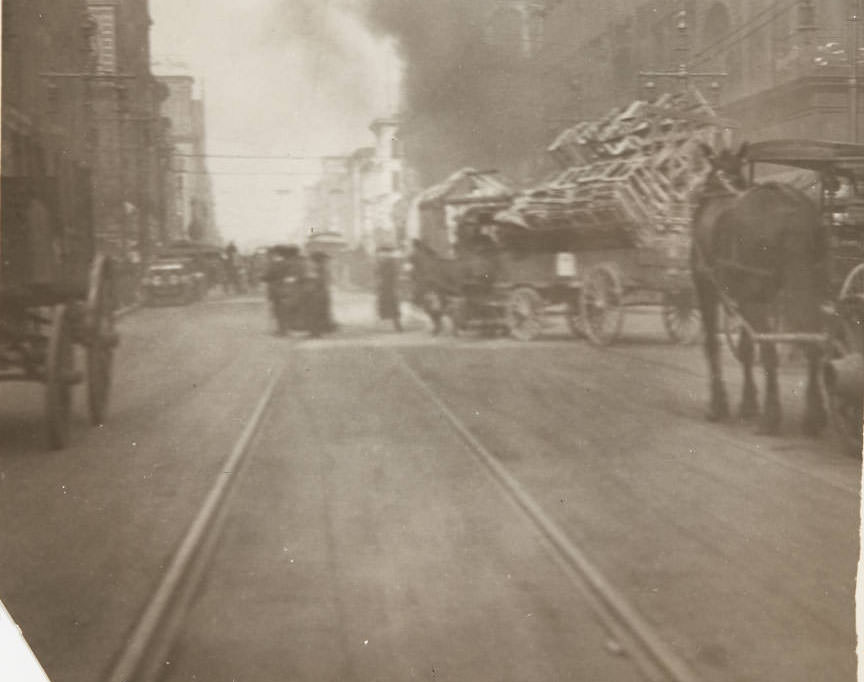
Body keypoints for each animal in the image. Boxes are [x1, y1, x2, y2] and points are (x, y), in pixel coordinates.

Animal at [692, 142, 828, 436]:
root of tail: (793, 212)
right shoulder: (739, 297)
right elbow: (745, 348)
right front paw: (747, 404)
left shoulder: (708, 288)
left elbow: (713, 344)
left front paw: (718, 405)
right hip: (809, 287)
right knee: (813, 340)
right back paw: (814, 415)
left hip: (756, 300)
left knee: (770, 349)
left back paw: (772, 416)